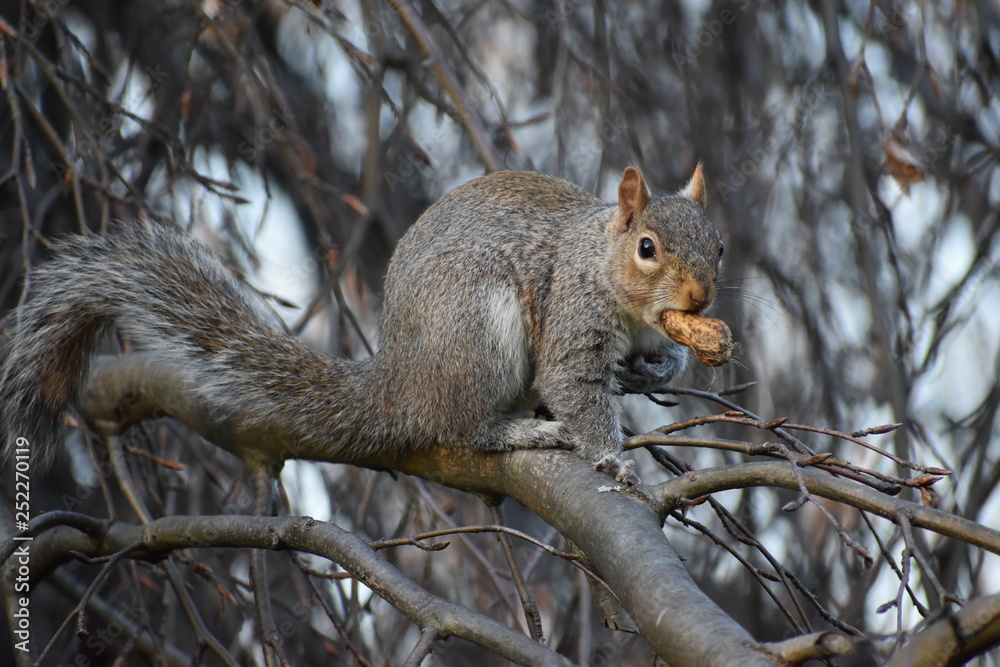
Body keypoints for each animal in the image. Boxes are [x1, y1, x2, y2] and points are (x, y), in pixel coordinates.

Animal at [0, 165, 722, 485]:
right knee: (463, 427)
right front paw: (612, 457)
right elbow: (575, 385)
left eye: (718, 245)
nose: (701, 295)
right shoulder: (572, 316)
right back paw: (522, 429)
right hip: (477, 326)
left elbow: (657, 356)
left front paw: (659, 367)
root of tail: (399, 382)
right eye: (647, 248)